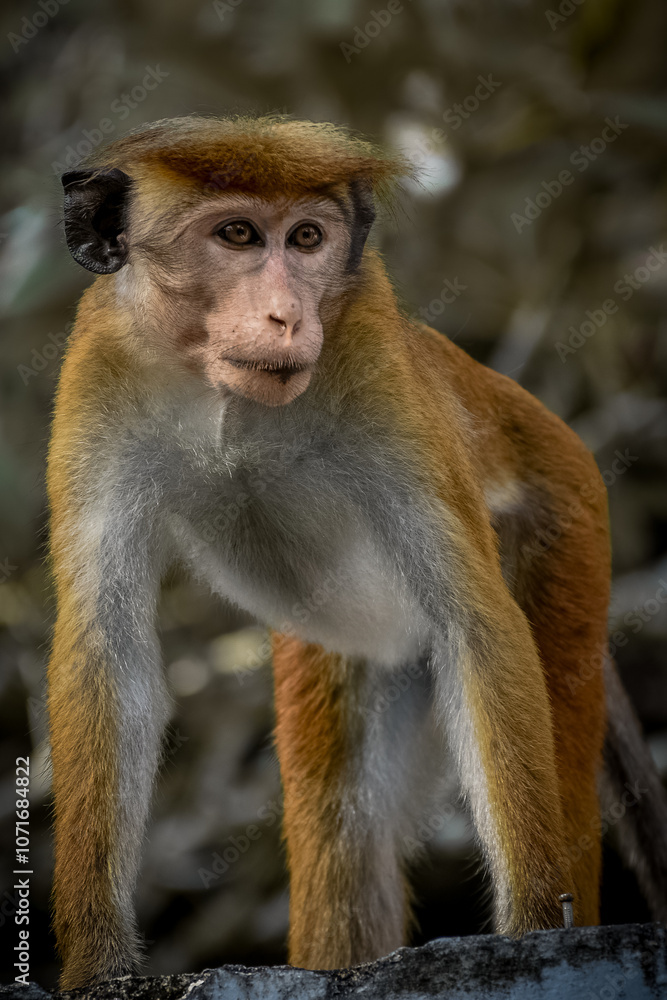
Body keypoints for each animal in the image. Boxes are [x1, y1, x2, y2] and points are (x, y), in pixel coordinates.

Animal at [47, 114, 667, 989]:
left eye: (307, 238)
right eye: (236, 234)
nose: (286, 316)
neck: (224, 399)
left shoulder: (372, 355)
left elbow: (475, 622)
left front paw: (532, 928)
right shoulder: (99, 372)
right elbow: (107, 649)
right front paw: (97, 966)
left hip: (569, 528)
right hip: (349, 650)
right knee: (346, 833)